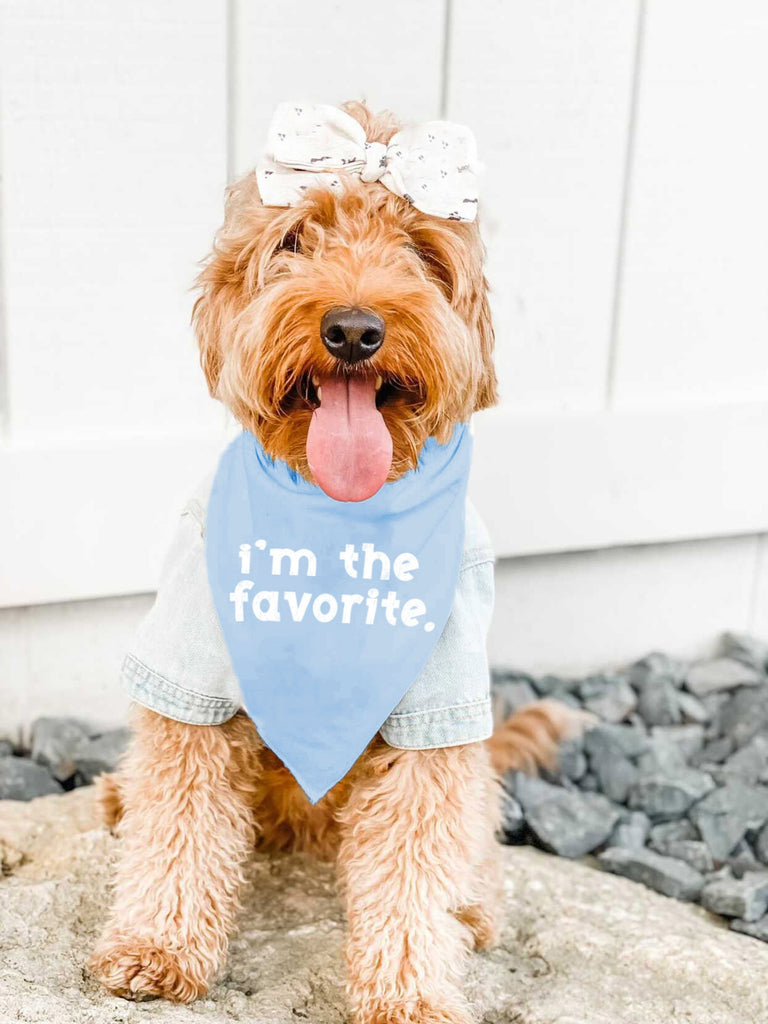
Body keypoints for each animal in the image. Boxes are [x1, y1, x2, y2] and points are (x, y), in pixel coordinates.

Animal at [90, 101, 581, 1024]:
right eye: (295, 238)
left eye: (422, 251)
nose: (354, 328)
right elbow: (177, 813)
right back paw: (114, 796)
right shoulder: (190, 667)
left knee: (469, 832)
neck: (332, 526)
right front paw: (157, 946)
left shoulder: (436, 707)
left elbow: (416, 855)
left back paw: (472, 910)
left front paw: (410, 991)